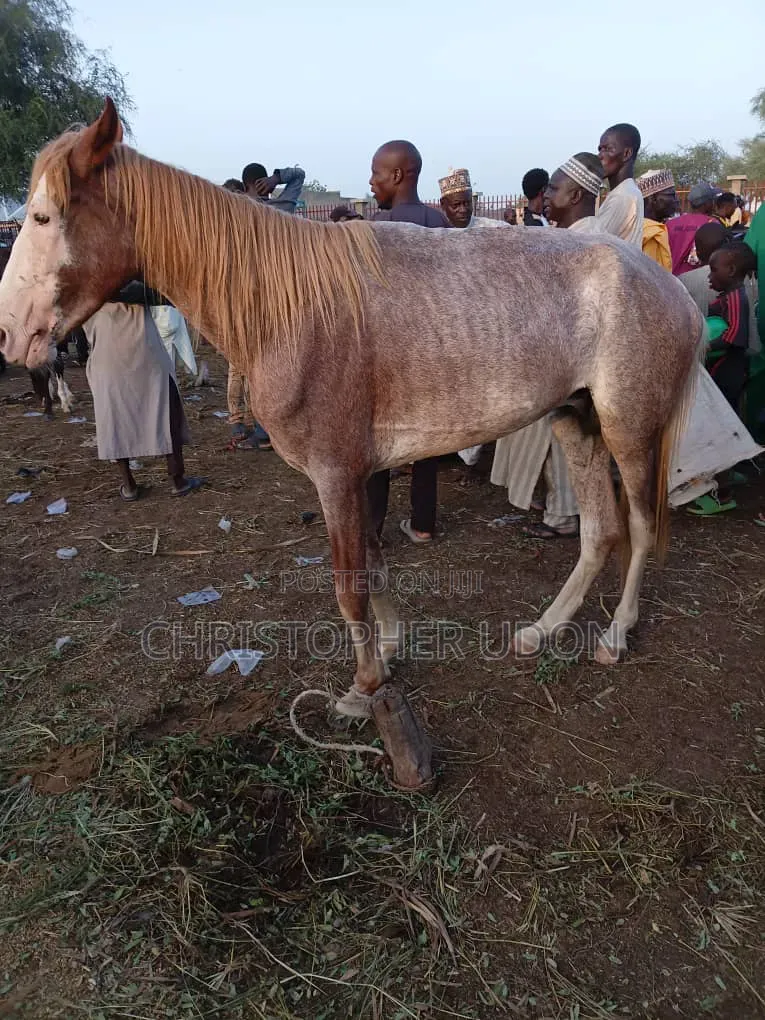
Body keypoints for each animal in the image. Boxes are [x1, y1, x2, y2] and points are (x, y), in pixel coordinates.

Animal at [0, 100, 704, 724]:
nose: (12, 335)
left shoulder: (336, 473)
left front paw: (365, 686)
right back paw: (543, 629)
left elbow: (348, 583)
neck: (289, 305)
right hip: (575, 421)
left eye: (42, 216)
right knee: (599, 533)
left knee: (639, 528)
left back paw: (615, 635)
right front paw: (389, 649)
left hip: (629, 432)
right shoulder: (361, 473)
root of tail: (670, 289)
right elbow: (372, 557)